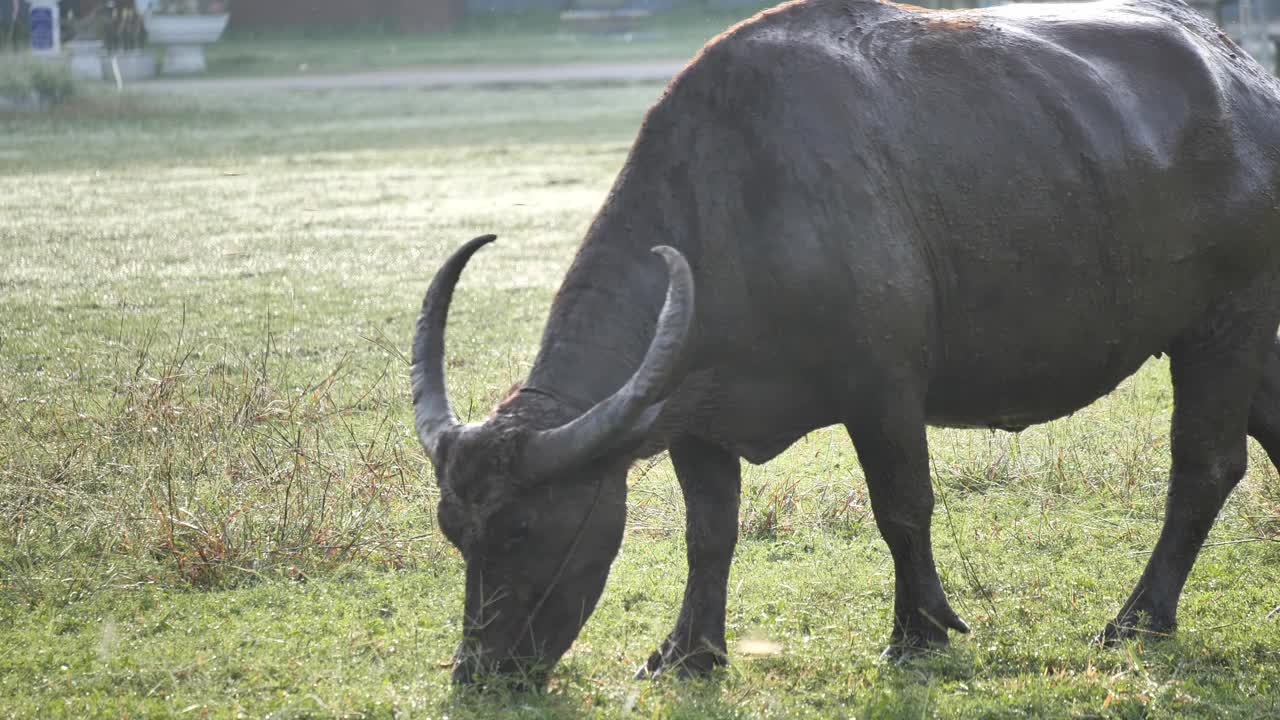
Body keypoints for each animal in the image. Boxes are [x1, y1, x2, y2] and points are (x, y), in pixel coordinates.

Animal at [407, 0, 1280, 681]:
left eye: (522, 529)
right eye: (454, 531)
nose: (479, 672)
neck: (735, 208)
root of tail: (1249, 83)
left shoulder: (884, 391)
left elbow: (902, 508)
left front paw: (918, 634)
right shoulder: (694, 416)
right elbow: (708, 534)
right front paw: (688, 652)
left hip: (1225, 324)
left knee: (1205, 466)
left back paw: (1138, 616)